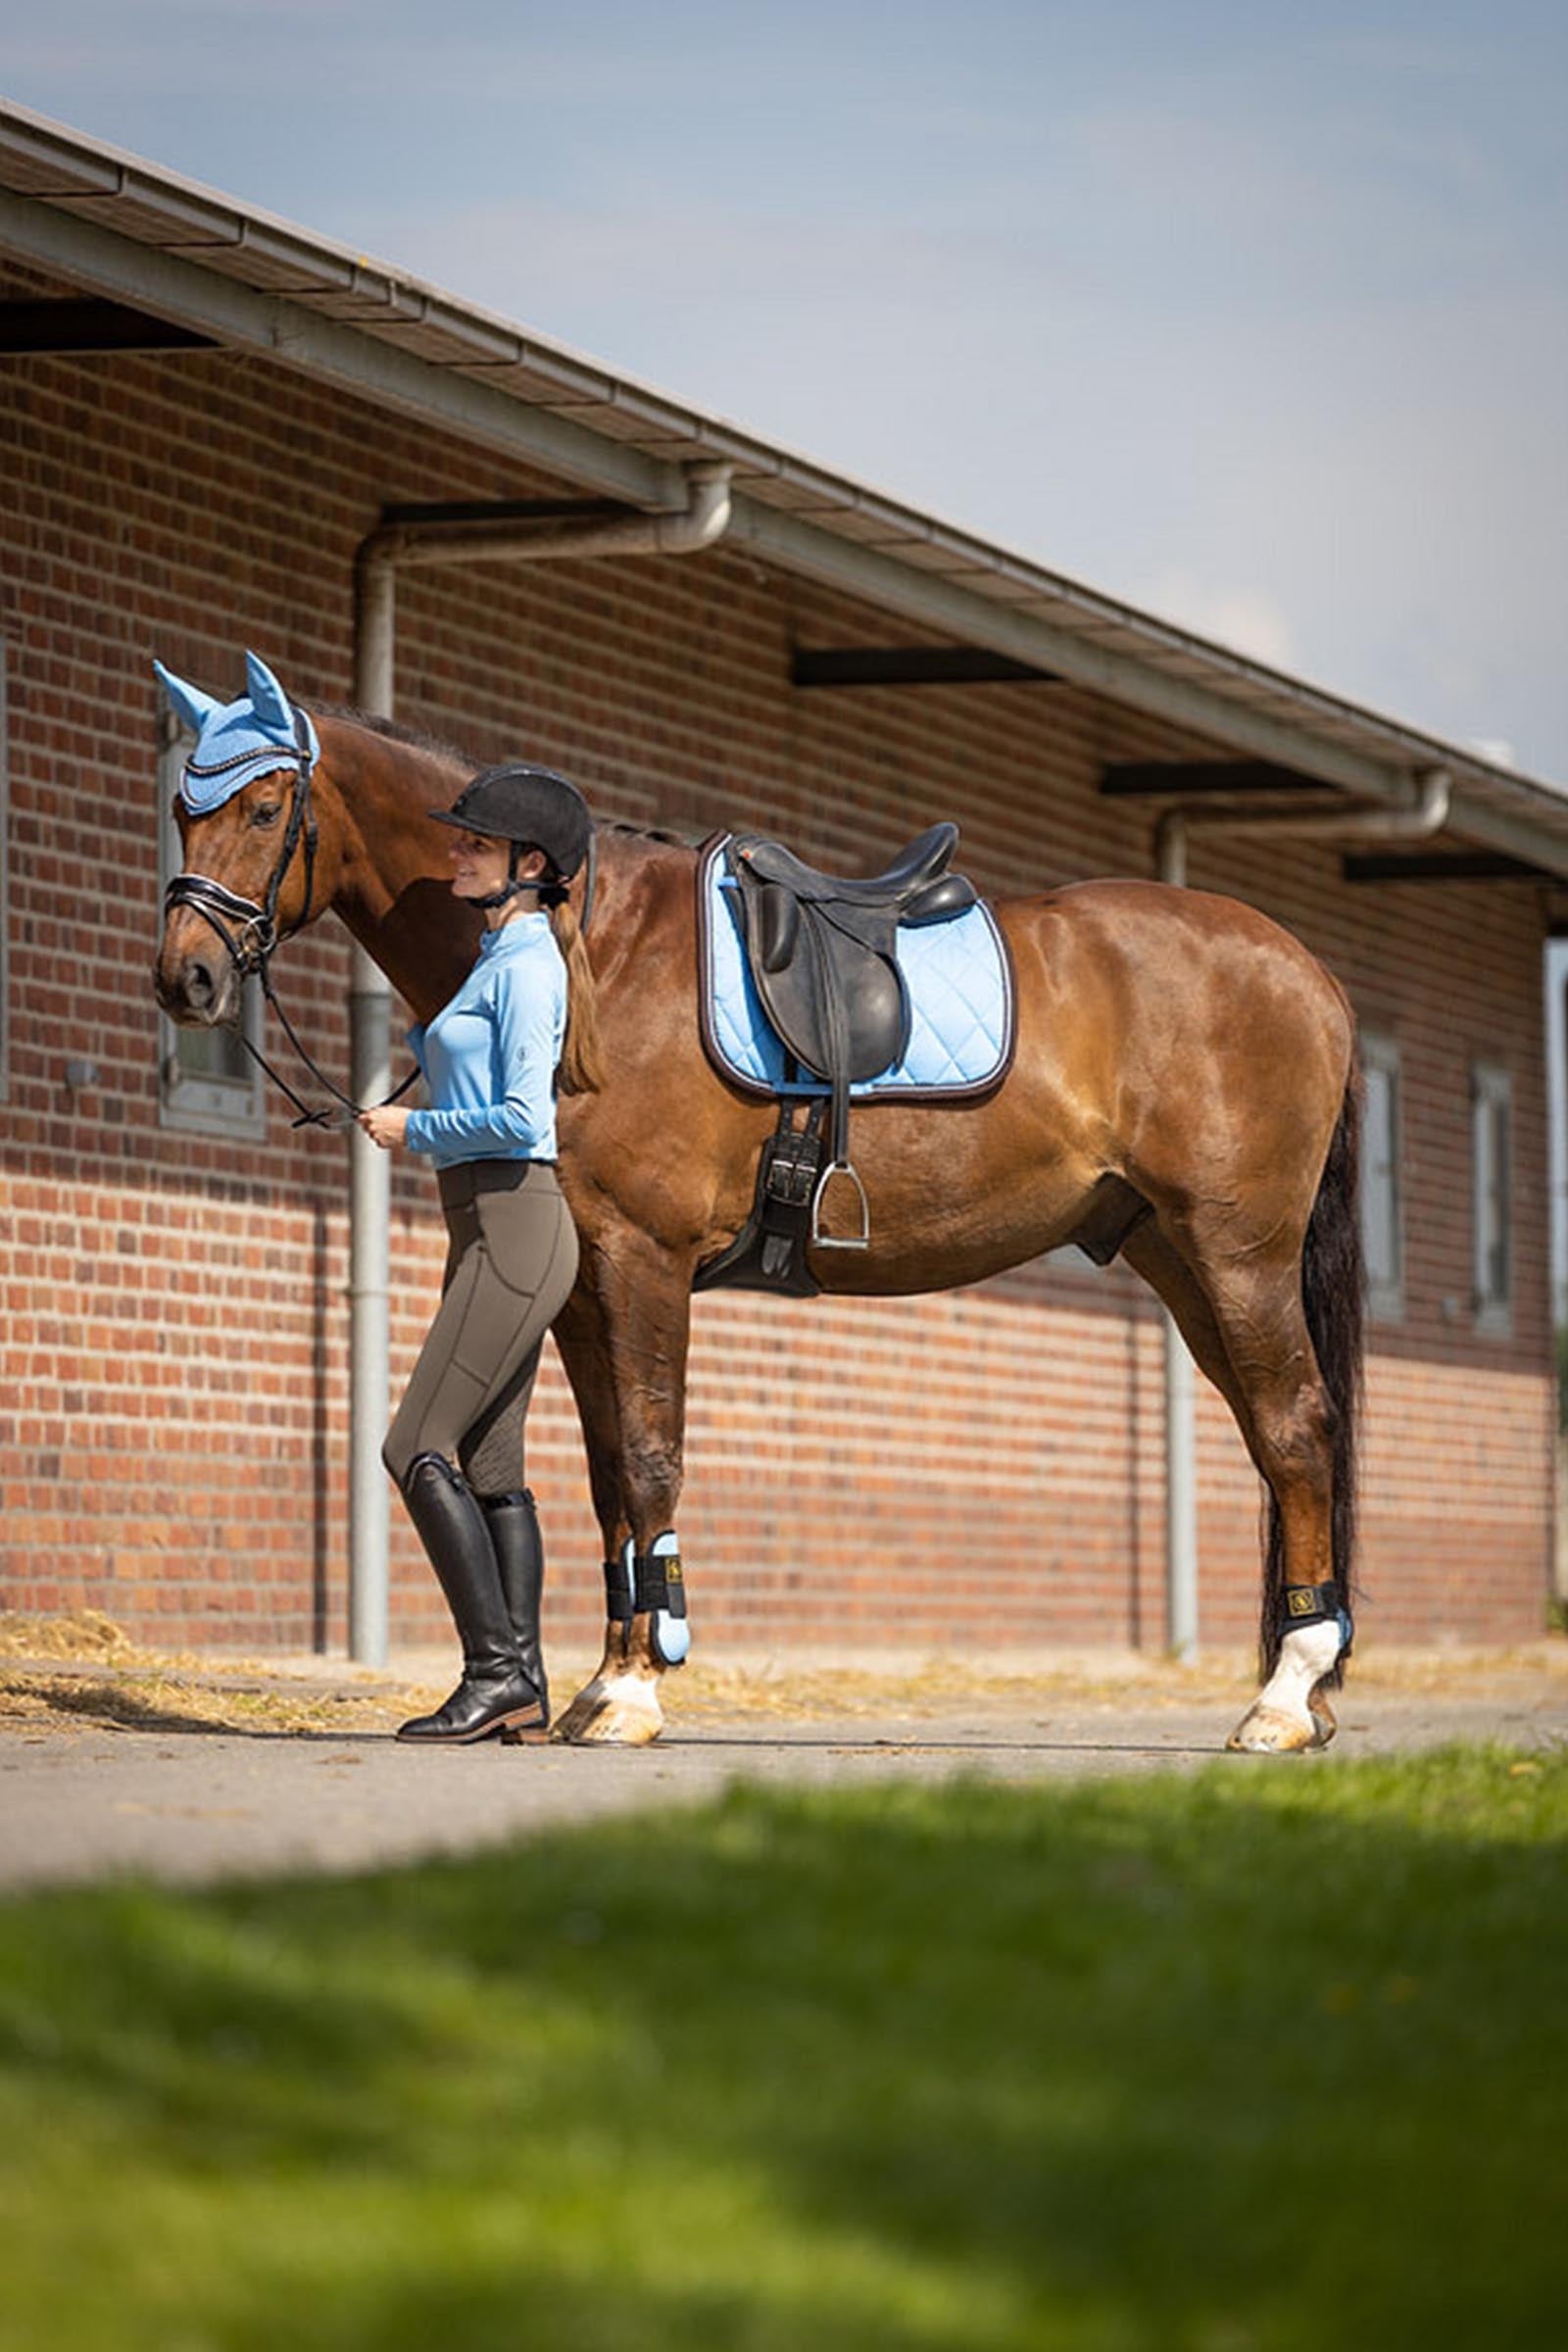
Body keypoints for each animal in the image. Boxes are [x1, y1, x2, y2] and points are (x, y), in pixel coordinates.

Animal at [153, 676, 1364, 1757]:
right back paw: (1301, 1686)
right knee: (1276, 1443)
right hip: (1178, 1258)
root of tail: (1307, 970)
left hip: (1237, 1255)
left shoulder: (643, 1261)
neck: (592, 953)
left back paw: (1281, 1700)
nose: (186, 981)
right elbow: (606, 1480)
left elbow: (651, 1459)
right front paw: (599, 1681)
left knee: (1297, 1433)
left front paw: (634, 1691)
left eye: (264, 809)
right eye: (182, 803)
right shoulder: (584, 1284)